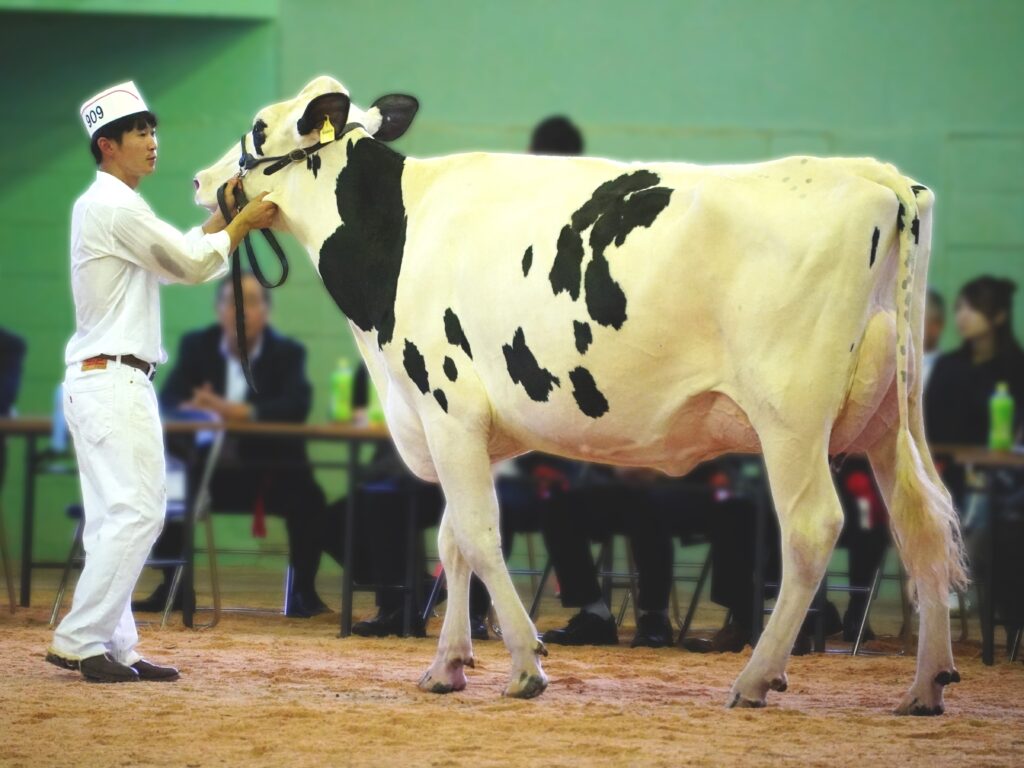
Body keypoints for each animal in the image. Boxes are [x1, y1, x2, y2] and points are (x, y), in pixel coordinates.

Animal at [193, 78, 966, 716]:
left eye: (258, 130)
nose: (200, 178)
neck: (396, 236)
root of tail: (875, 174)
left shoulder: (447, 405)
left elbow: (478, 535)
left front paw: (525, 664)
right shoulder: (459, 427)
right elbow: (452, 539)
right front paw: (448, 665)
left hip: (791, 418)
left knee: (810, 530)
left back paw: (756, 678)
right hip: (888, 417)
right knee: (921, 524)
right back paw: (926, 686)